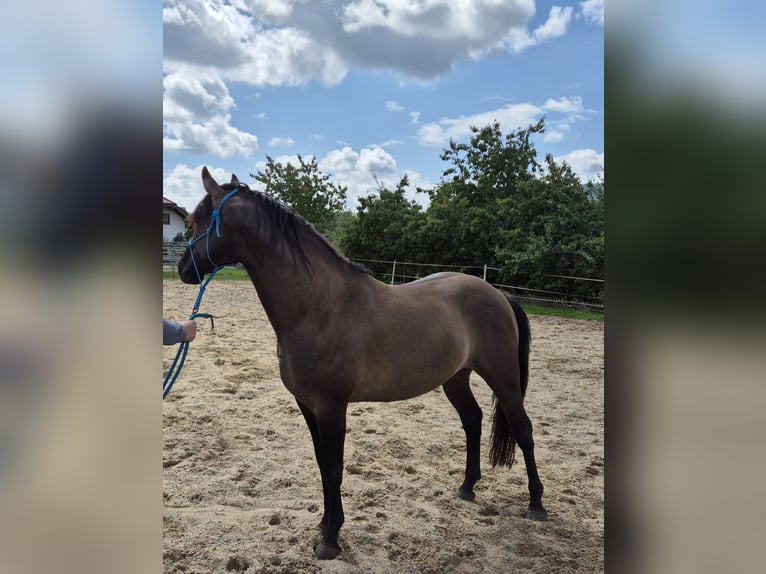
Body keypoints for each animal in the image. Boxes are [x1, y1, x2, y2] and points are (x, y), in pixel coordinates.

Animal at [177, 167, 547, 560]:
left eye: (195, 222)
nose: (183, 269)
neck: (319, 306)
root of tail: (498, 294)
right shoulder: (307, 405)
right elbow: (322, 464)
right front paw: (324, 525)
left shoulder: (331, 406)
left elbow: (334, 468)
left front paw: (330, 539)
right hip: (456, 377)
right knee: (473, 420)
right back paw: (467, 487)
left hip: (502, 376)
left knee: (523, 429)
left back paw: (536, 504)